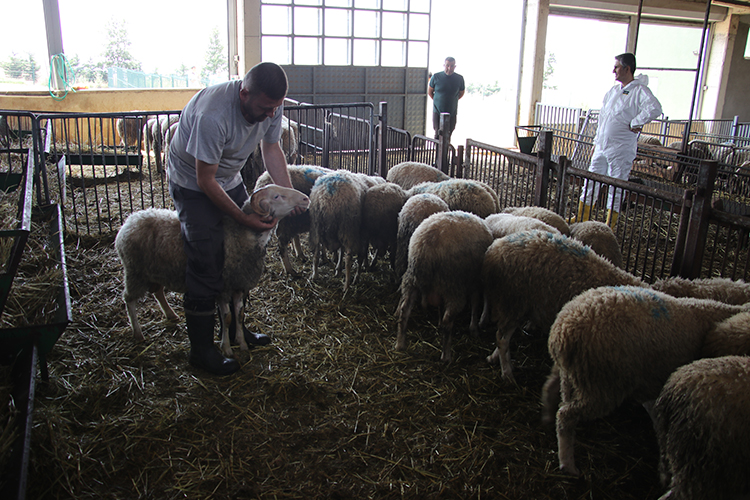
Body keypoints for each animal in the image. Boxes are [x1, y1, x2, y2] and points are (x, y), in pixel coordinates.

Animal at [114, 184, 310, 356]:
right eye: (277, 196)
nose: (305, 199)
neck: (240, 234)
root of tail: (131, 219)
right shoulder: (223, 288)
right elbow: (228, 317)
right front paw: (227, 349)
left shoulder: (238, 284)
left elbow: (239, 315)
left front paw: (242, 344)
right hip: (134, 272)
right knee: (129, 299)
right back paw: (138, 333)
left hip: (155, 270)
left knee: (158, 291)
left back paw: (170, 314)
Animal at [395, 211, 494, 363]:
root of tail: (427, 245)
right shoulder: (474, 281)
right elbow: (475, 303)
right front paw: (474, 328)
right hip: (453, 284)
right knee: (448, 322)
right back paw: (446, 356)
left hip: (413, 278)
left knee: (404, 311)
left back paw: (400, 344)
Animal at [481, 230, 644, 383]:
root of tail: (495, 246)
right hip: (514, 302)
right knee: (502, 338)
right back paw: (507, 373)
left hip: (516, 305)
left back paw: (495, 359)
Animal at [542, 285, 750, 477]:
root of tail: (565, 326)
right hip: (601, 384)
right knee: (566, 416)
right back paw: (568, 464)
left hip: (571, 372)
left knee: (552, 388)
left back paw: (547, 415)